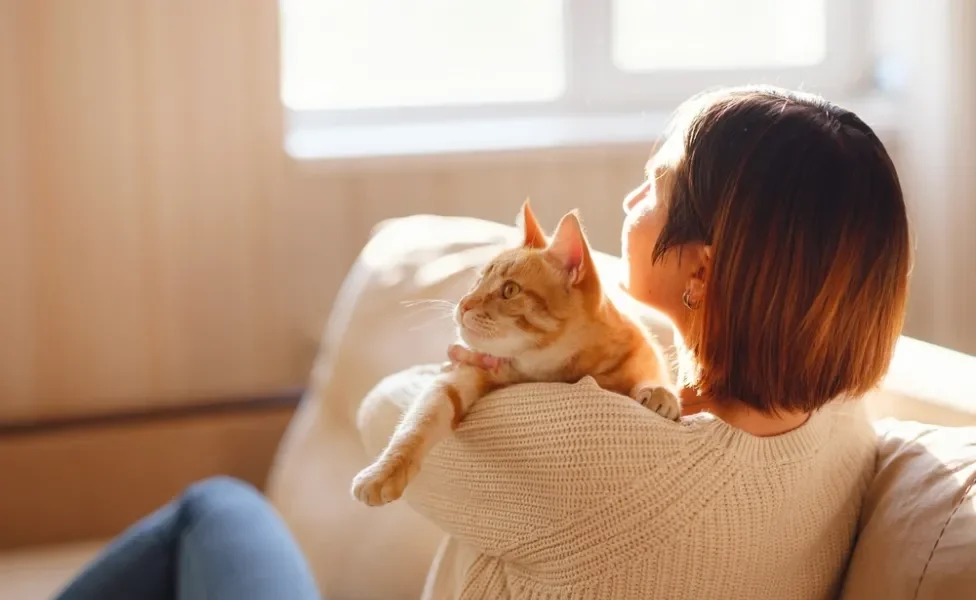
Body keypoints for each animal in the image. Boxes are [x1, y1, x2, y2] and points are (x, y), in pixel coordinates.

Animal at [350, 202, 680, 506]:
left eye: (509, 290)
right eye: (478, 280)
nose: (464, 303)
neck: (549, 366)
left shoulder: (641, 348)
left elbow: (649, 371)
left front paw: (659, 392)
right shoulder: (462, 375)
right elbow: (418, 423)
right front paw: (383, 472)